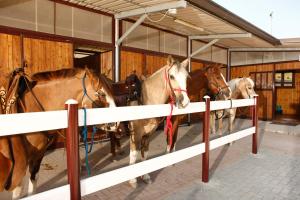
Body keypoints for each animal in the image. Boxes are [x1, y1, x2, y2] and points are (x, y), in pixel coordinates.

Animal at [0, 67, 117, 198]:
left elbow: (33, 182)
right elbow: (18, 191)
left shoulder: (38, 154)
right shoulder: (20, 162)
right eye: (102, 94)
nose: (116, 123)